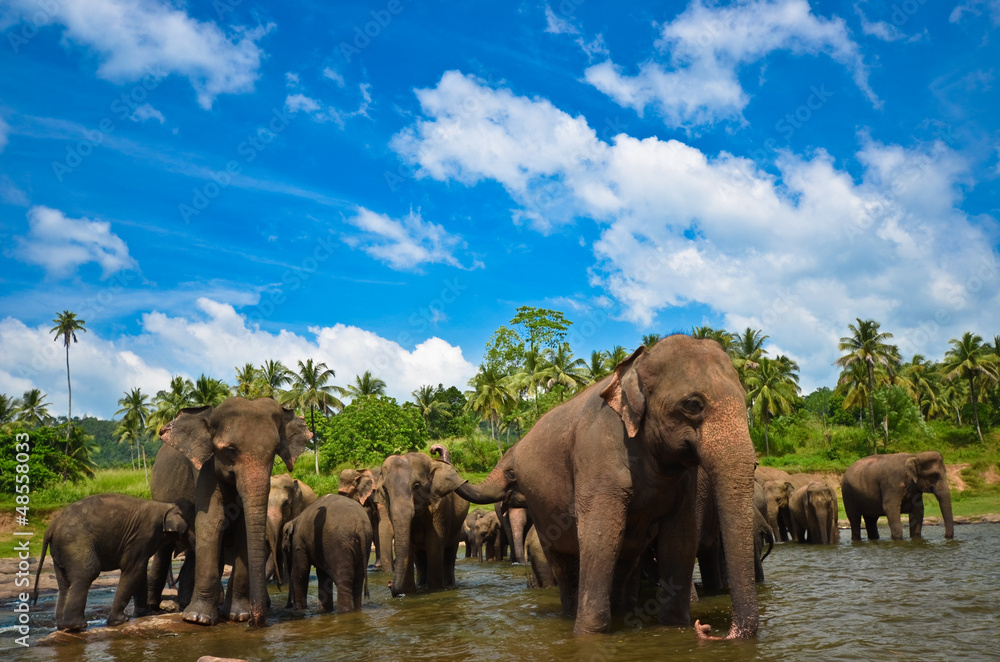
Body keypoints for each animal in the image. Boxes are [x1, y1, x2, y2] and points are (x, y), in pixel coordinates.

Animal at [33, 493, 188, 630]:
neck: (164, 506)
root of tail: (51, 528)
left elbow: (140, 570)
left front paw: (145, 614)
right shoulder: (143, 535)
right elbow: (133, 569)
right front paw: (120, 621)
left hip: (60, 552)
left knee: (64, 583)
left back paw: (62, 627)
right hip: (76, 543)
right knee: (87, 574)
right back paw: (77, 627)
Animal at [155, 397, 311, 626]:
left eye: (275, 451)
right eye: (229, 450)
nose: (255, 622)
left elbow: (243, 529)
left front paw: (239, 616)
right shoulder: (205, 471)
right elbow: (211, 522)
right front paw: (198, 619)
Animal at [376, 452, 469, 596]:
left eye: (416, 486)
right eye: (385, 489)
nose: (389, 584)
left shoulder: (441, 507)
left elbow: (434, 544)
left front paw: (435, 590)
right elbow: (408, 546)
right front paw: (409, 594)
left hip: (457, 526)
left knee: (449, 553)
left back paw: (449, 585)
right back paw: (421, 584)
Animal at [454, 335, 760, 639]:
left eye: (747, 400)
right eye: (693, 404)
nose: (707, 629)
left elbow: (680, 539)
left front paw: (675, 626)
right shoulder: (597, 452)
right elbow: (601, 536)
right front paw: (588, 636)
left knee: (624, 560)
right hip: (541, 511)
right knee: (565, 562)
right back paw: (571, 614)